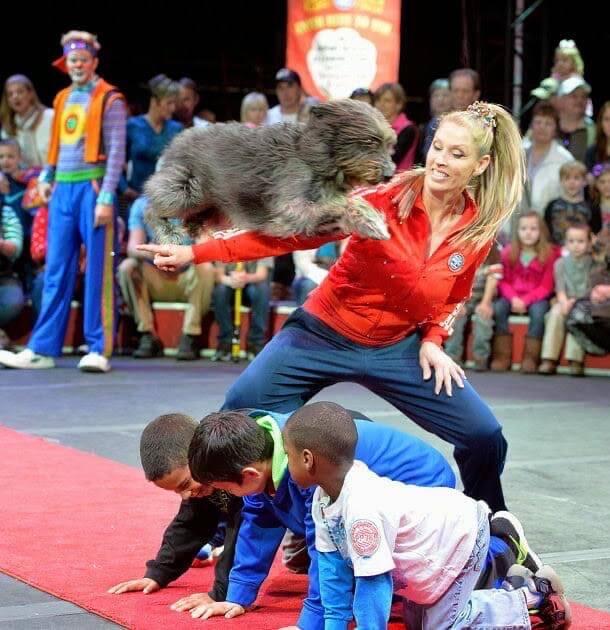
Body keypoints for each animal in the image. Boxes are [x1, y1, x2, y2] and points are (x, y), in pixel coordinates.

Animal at [145, 99, 396, 244]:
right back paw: (167, 232)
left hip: (211, 205)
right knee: (151, 206)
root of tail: (178, 139)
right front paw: (370, 218)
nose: (389, 175)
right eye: (370, 141)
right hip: (187, 190)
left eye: (389, 143)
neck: (313, 157)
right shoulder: (291, 200)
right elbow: (339, 203)